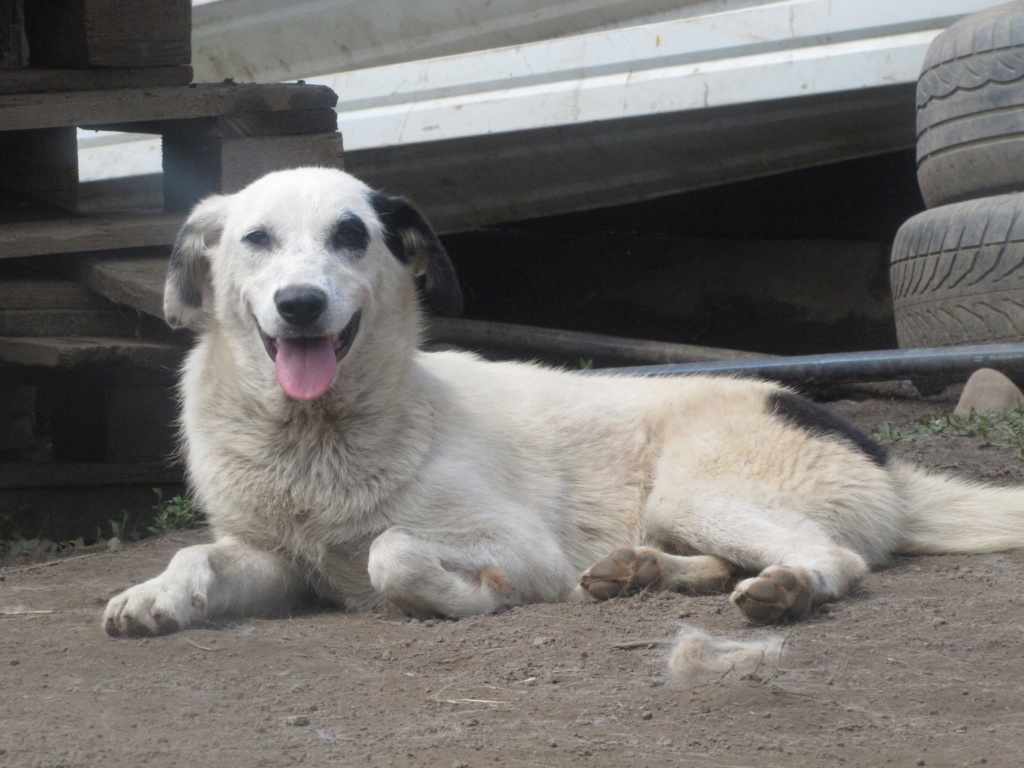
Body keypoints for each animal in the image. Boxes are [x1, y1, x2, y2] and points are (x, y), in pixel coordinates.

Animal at [101, 167, 1024, 638]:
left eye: (350, 237)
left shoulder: (524, 545)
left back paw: (788, 588)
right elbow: (198, 554)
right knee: (720, 559)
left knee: (835, 559)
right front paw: (155, 595)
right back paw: (640, 571)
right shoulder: (273, 558)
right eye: (256, 240)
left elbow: (390, 552)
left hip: (696, 490)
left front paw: (467, 595)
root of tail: (876, 450)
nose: (299, 305)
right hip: (678, 511)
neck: (314, 436)